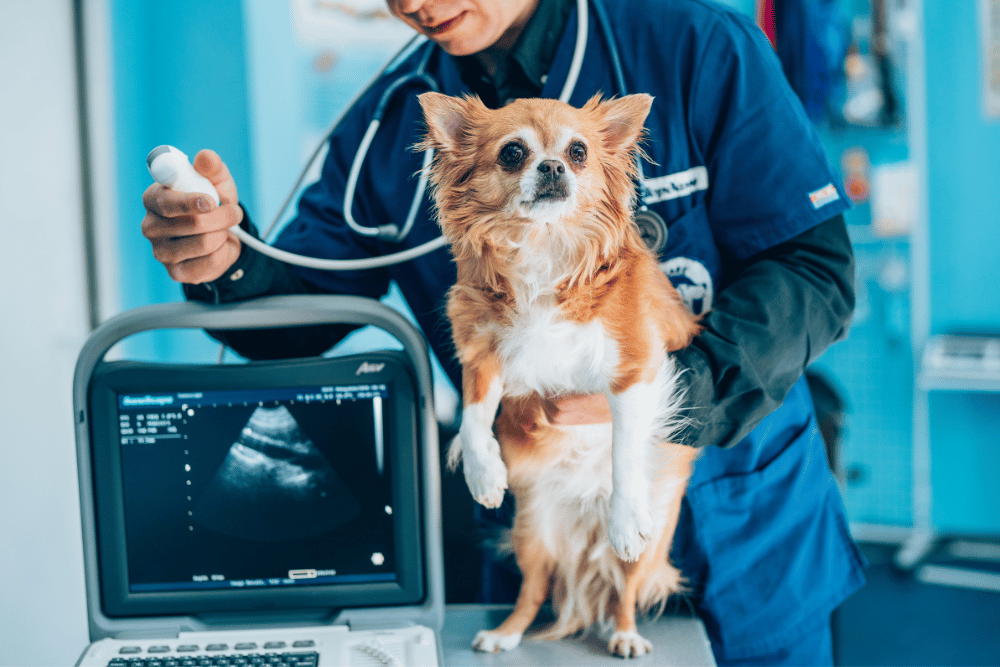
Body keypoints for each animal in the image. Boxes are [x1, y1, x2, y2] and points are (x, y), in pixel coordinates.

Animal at [418, 92, 700, 656]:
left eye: (578, 152)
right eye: (512, 153)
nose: (552, 166)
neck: (543, 244)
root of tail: (583, 523)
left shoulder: (632, 369)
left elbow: (624, 450)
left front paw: (625, 513)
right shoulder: (482, 355)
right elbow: (473, 418)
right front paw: (484, 474)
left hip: (647, 549)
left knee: (623, 593)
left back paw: (625, 633)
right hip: (531, 533)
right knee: (532, 591)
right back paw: (504, 634)